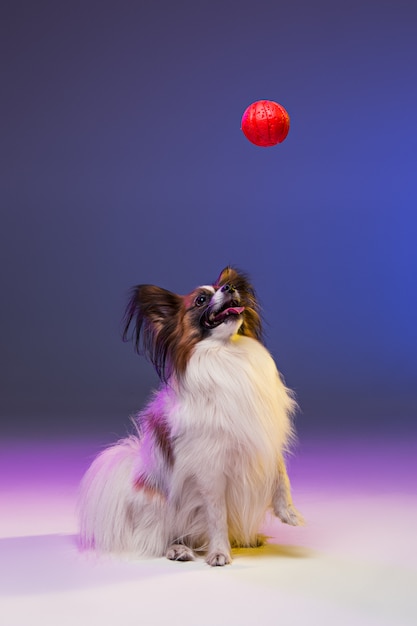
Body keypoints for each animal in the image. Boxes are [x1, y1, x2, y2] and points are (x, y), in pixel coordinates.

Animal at [79, 266, 302, 564]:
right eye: (200, 301)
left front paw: (288, 512)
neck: (227, 353)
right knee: (155, 540)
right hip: (157, 506)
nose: (230, 288)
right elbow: (216, 515)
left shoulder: (265, 436)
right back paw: (179, 549)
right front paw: (219, 552)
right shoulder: (210, 469)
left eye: (226, 287)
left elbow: (281, 475)